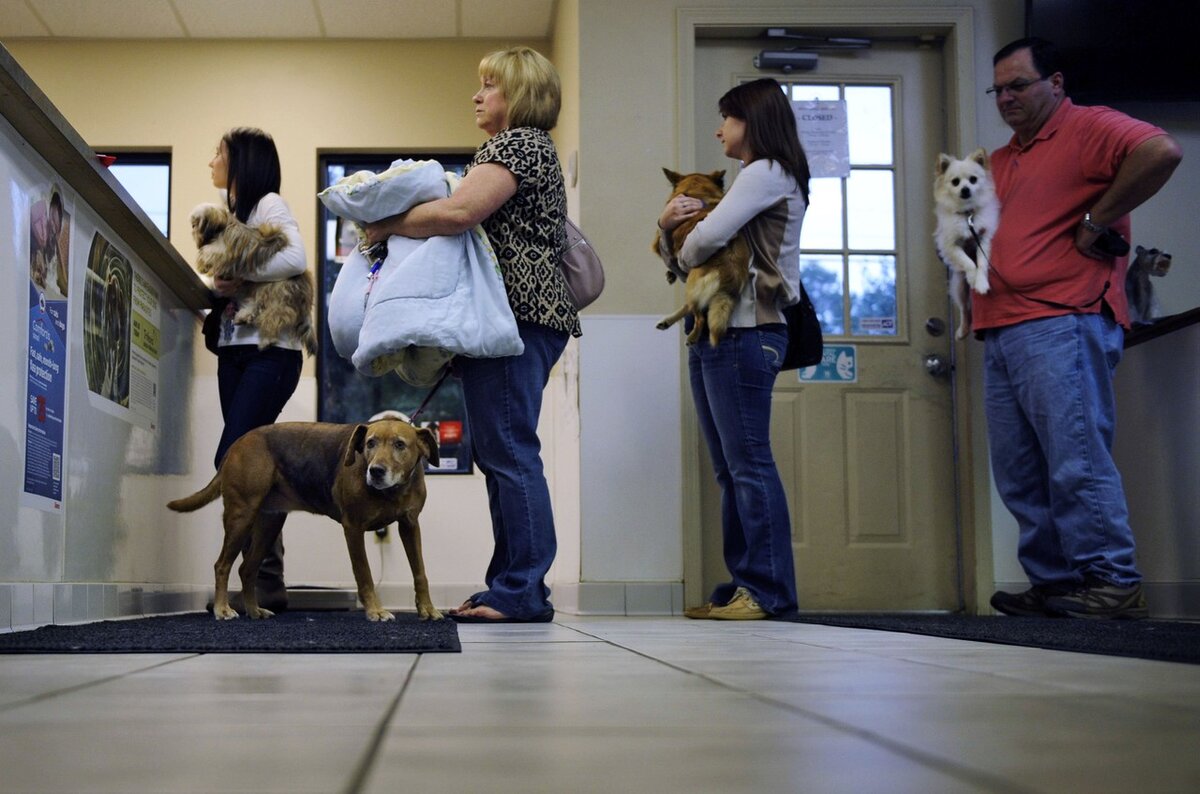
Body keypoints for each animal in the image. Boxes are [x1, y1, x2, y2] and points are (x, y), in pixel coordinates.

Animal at [166, 419, 444, 623]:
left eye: (400, 444)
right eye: (370, 443)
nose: (375, 471)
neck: (392, 491)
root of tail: (239, 442)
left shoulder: (410, 526)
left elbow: (420, 572)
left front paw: (427, 609)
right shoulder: (353, 529)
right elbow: (364, 574)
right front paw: (375, 610)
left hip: (269, 524)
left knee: (247, 569)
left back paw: (254, 610)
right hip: (241, 516)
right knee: (222, 565)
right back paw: (222, 609)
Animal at [189, 205, 316, 355]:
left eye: (197, 222)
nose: (192, 226)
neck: (224, 227)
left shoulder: (226, 249)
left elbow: (209, 252)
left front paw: (202, 265)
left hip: (278, 296)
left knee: (276, 316)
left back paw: (267, 340)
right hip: (263, 290)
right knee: (256, 305)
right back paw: (243, 316)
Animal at [652, 169, 744, 347]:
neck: (699, 194)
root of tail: (728, 273)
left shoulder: (660, 245)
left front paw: (670, 274)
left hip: (692, 285)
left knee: (699, 316)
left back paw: (692, 337)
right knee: (690, 306)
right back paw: (667, 321)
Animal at [931, 149, 998, 338]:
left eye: (973, 179)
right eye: (955, 182)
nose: (965, 189)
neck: (968, 214)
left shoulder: (983, 239)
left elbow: (981, 263)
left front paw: (981, 283)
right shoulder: (950, 246)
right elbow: (968, 263)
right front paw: (973, 277)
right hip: (960, 287)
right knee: (964, 309)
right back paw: (963, 330)